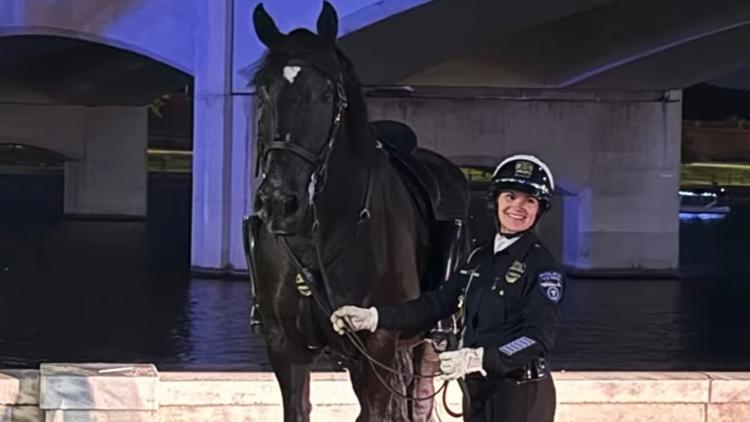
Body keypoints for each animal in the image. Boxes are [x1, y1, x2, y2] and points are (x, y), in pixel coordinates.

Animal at [246, 3, 469, 421]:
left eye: (325, 93)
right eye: (262, 92)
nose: (280, 202)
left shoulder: (377, 344)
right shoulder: (286, 348)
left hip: (428, 344)